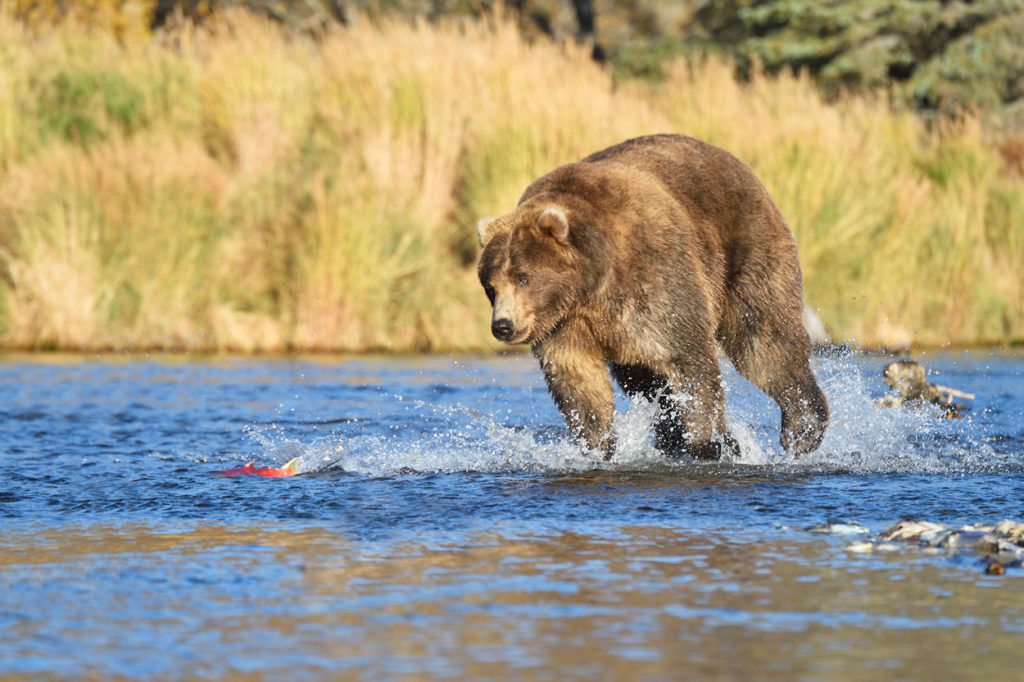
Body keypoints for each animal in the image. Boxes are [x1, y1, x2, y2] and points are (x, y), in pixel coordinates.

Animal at [475, 133, 827, 458]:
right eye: (490, 285)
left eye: (523, 277)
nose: (503, 325)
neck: (591, 288)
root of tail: (740, 165)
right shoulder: (565, 324)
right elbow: (578, 382)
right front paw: (599, 445)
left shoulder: (654, 278)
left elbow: (688, 363)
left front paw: (713, 443)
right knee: (646, 382)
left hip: (747, 251)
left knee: (765, 342)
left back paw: (803, 430)